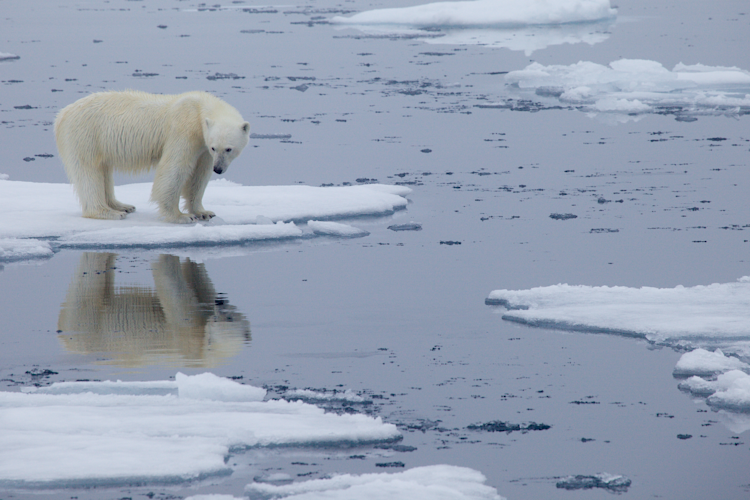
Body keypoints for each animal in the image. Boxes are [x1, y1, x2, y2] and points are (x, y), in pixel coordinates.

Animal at [54, 90, 250, 223]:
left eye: (228, 149)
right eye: (215, 147)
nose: (219, 169)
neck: (199, 109)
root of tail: (63, 114)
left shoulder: (202, 146)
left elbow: (199, 175)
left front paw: (204, 212)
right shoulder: (184, 130)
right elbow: (175, 168)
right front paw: (181, 216)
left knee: (104, 171)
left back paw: (122, 205)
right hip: (85, 135)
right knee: (88, 171)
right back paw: (108, 212)